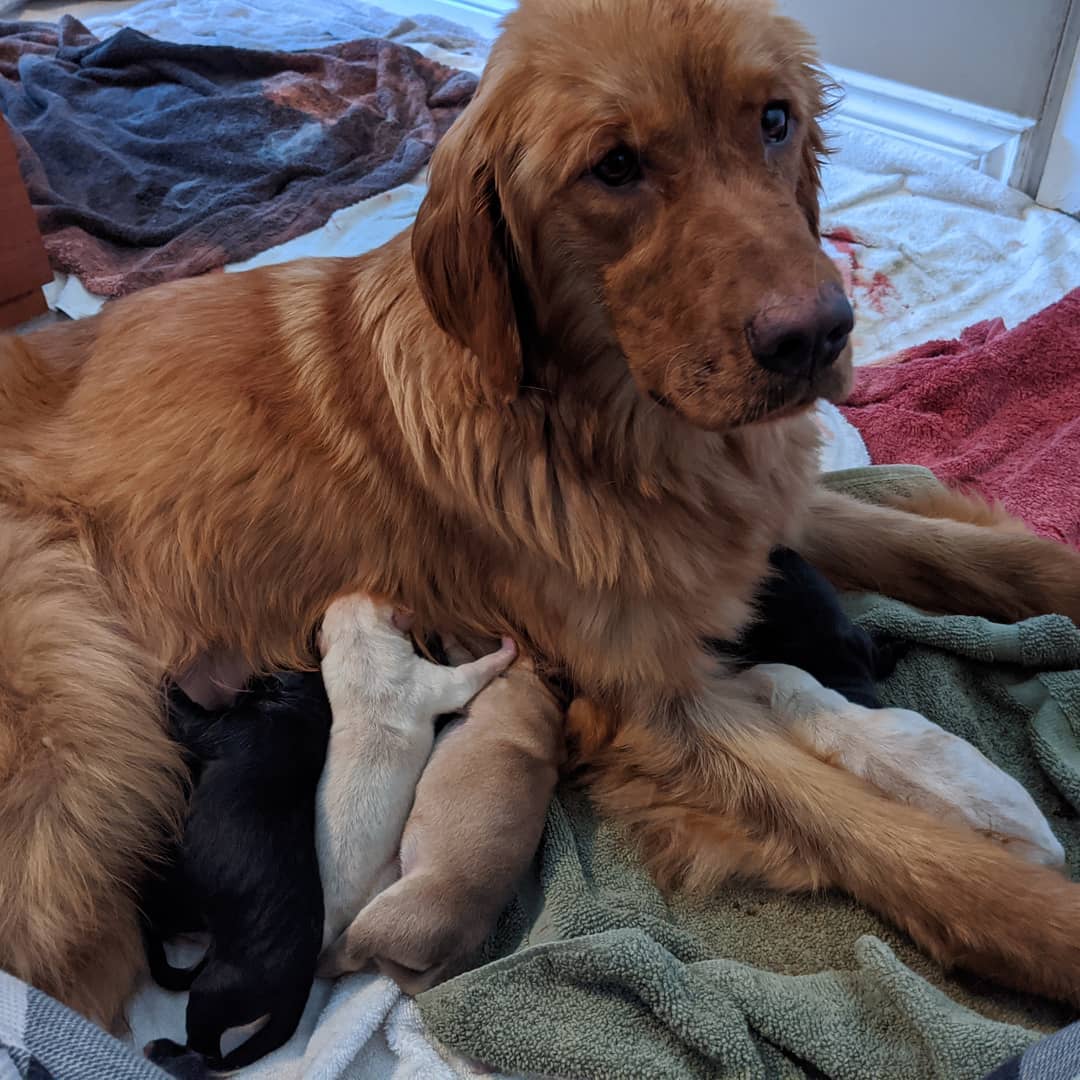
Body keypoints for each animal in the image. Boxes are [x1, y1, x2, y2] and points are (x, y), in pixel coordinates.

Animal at [141, 673, 330, 1071]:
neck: (301, 712)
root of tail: (300, 987)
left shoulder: (219, 729)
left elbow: (185, 710)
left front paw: (165, 678)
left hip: (212, 994)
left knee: (207, 1054)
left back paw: (162, 1051)